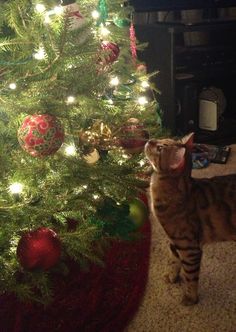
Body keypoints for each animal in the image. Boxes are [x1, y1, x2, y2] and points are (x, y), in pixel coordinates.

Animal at [144, 132, 236, 306]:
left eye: (159, 148)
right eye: (160, 139)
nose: (149, 139)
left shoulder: (189, 247)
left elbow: (190, 276)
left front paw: (190, 298)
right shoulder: (174, 242)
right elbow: (174, 261)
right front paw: (172, 277)